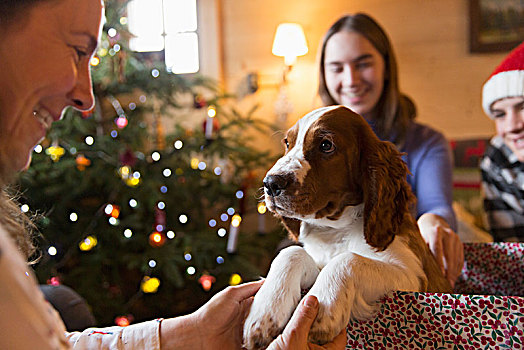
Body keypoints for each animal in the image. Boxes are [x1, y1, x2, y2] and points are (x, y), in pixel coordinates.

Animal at [242, 105, 450, 348]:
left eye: (326, 145)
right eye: (287, 143)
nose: (271, 183)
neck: (335, 230)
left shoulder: (414, 275)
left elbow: (348, 259)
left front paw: (324, 310)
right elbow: (291, 252)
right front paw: (264, 315)